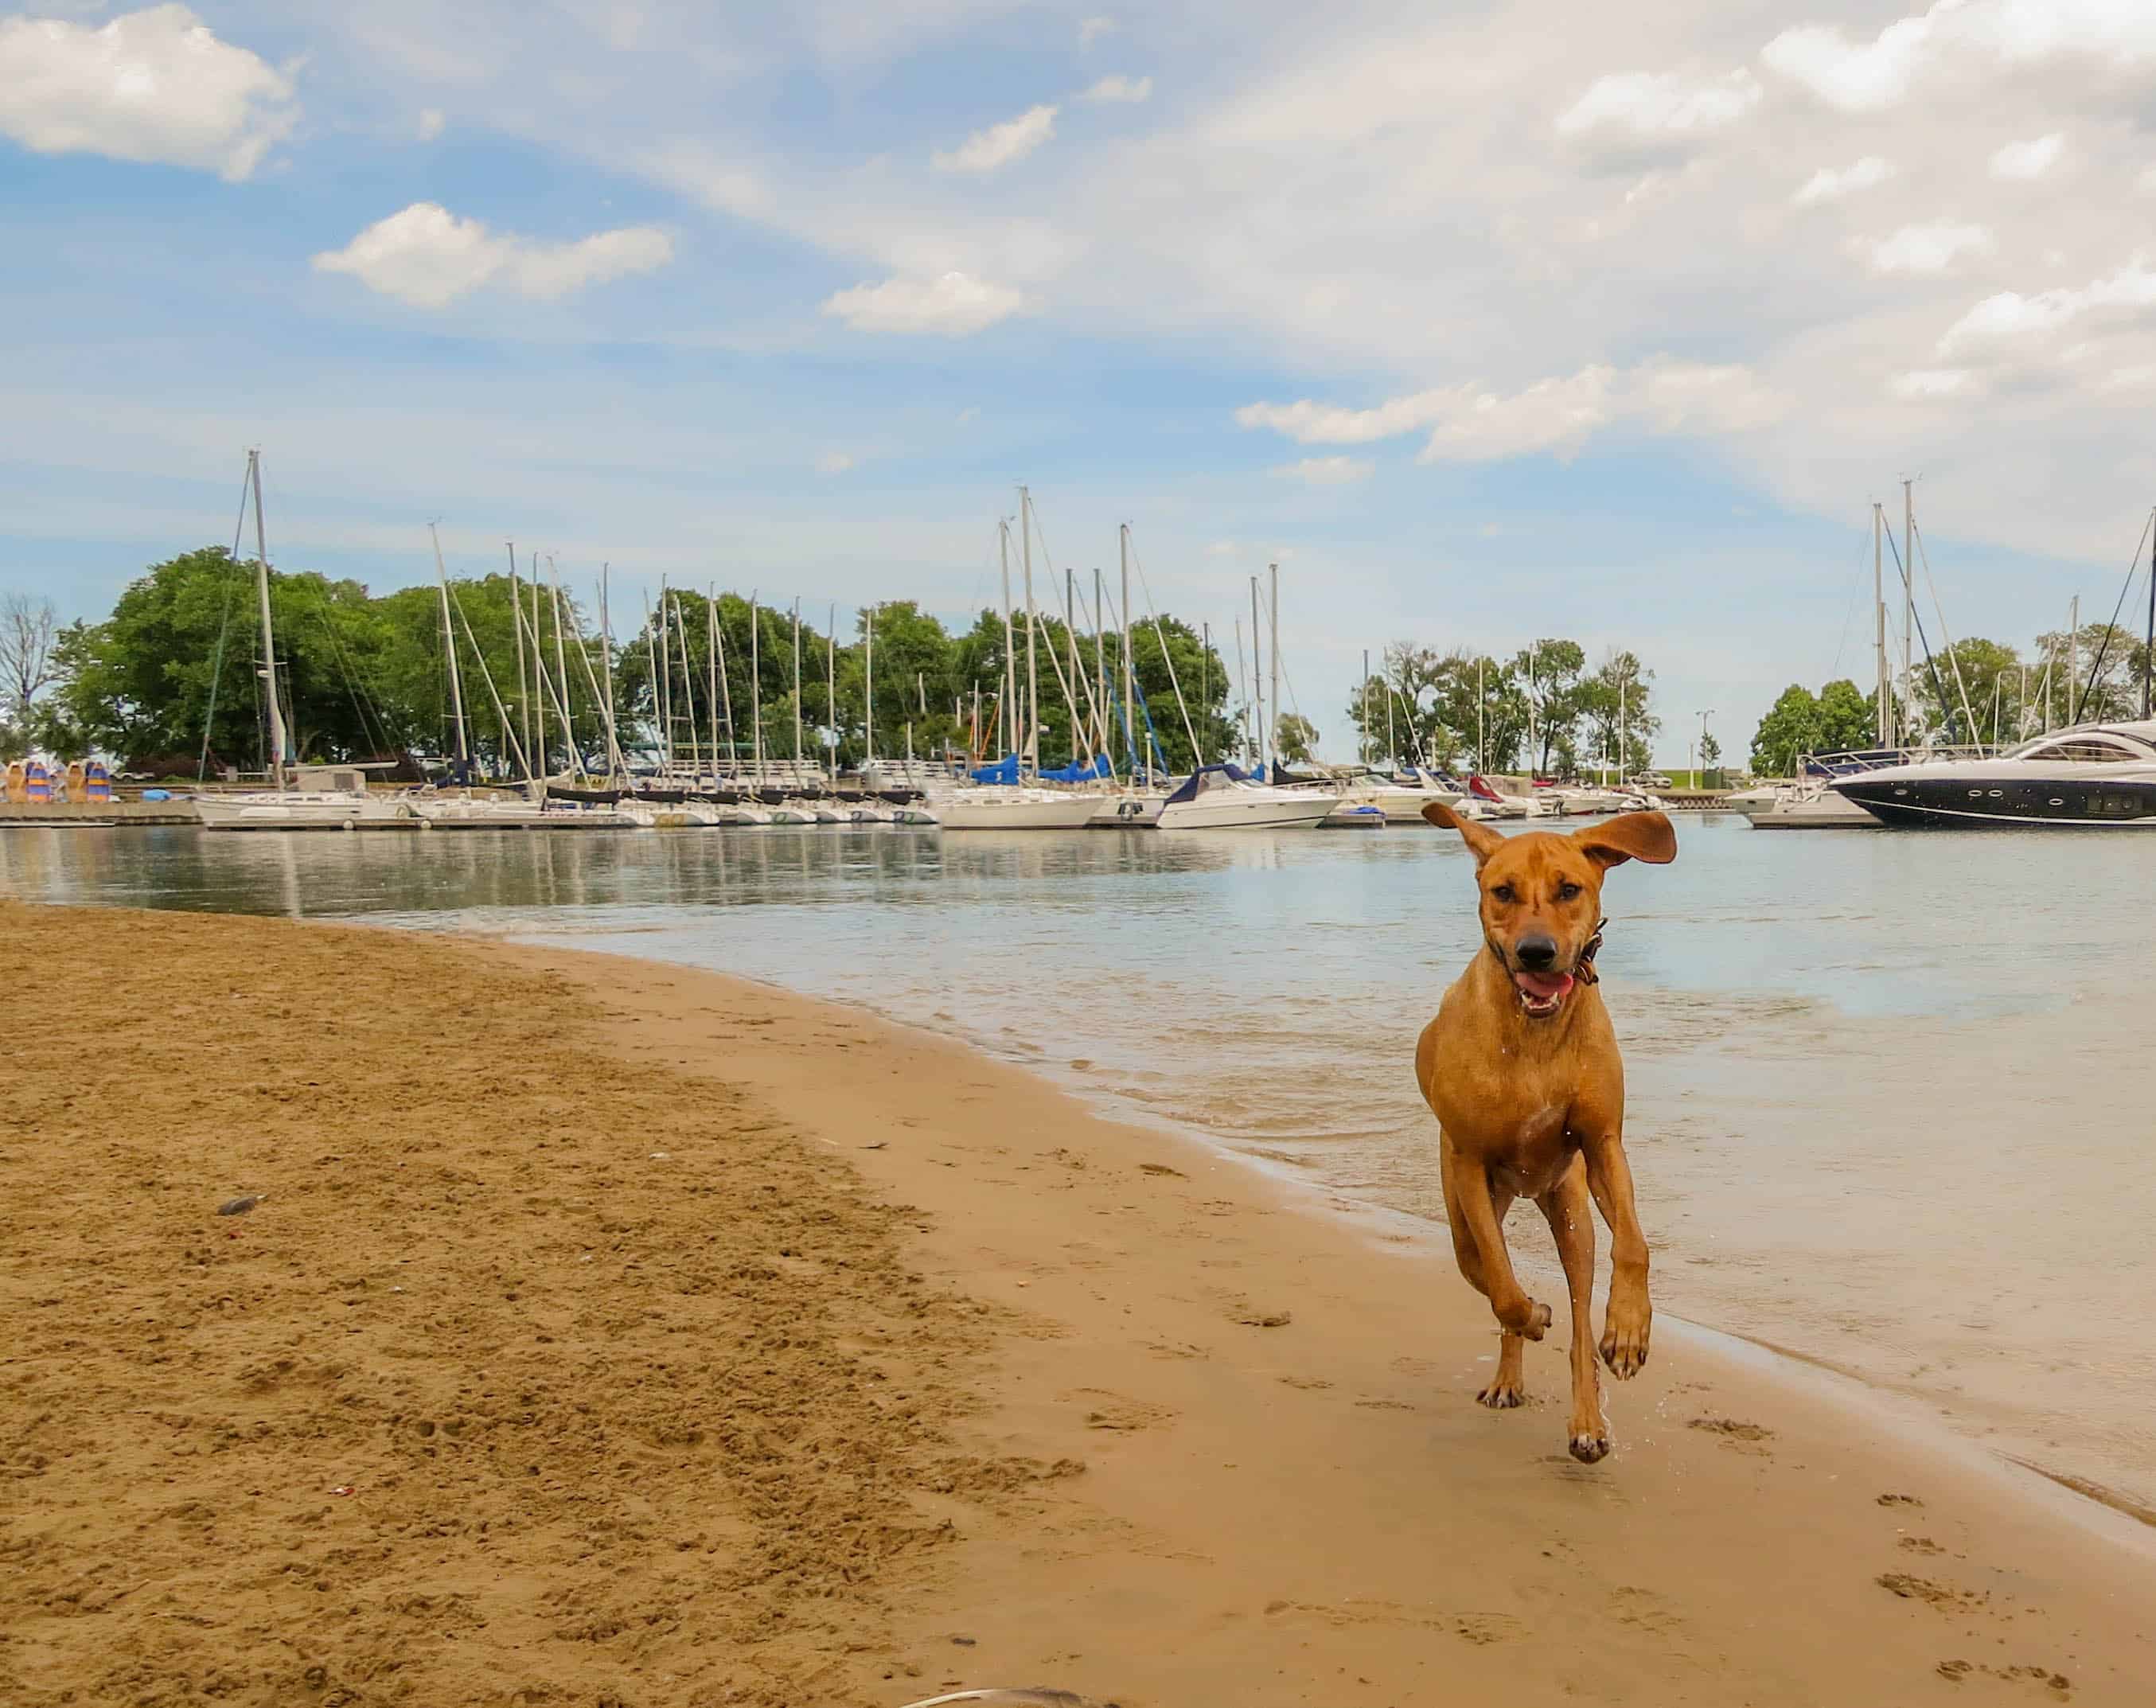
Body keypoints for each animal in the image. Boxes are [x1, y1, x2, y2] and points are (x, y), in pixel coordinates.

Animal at [1414, 806, 1682, 1457]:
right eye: (1502, 892)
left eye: (1569, 889)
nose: (1536, 952)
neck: (1533, 1034)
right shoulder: (1468, 1163)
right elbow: (1502, 1284)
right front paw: (1533, 1314)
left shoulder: (1603, 1142)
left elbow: (1633, 1245)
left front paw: (1629, 1329)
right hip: (1469, 1203)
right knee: (1484, 1270)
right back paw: (1512, 1370)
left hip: (1570, 1209)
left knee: (1582, 1314)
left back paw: (1587, 1419)